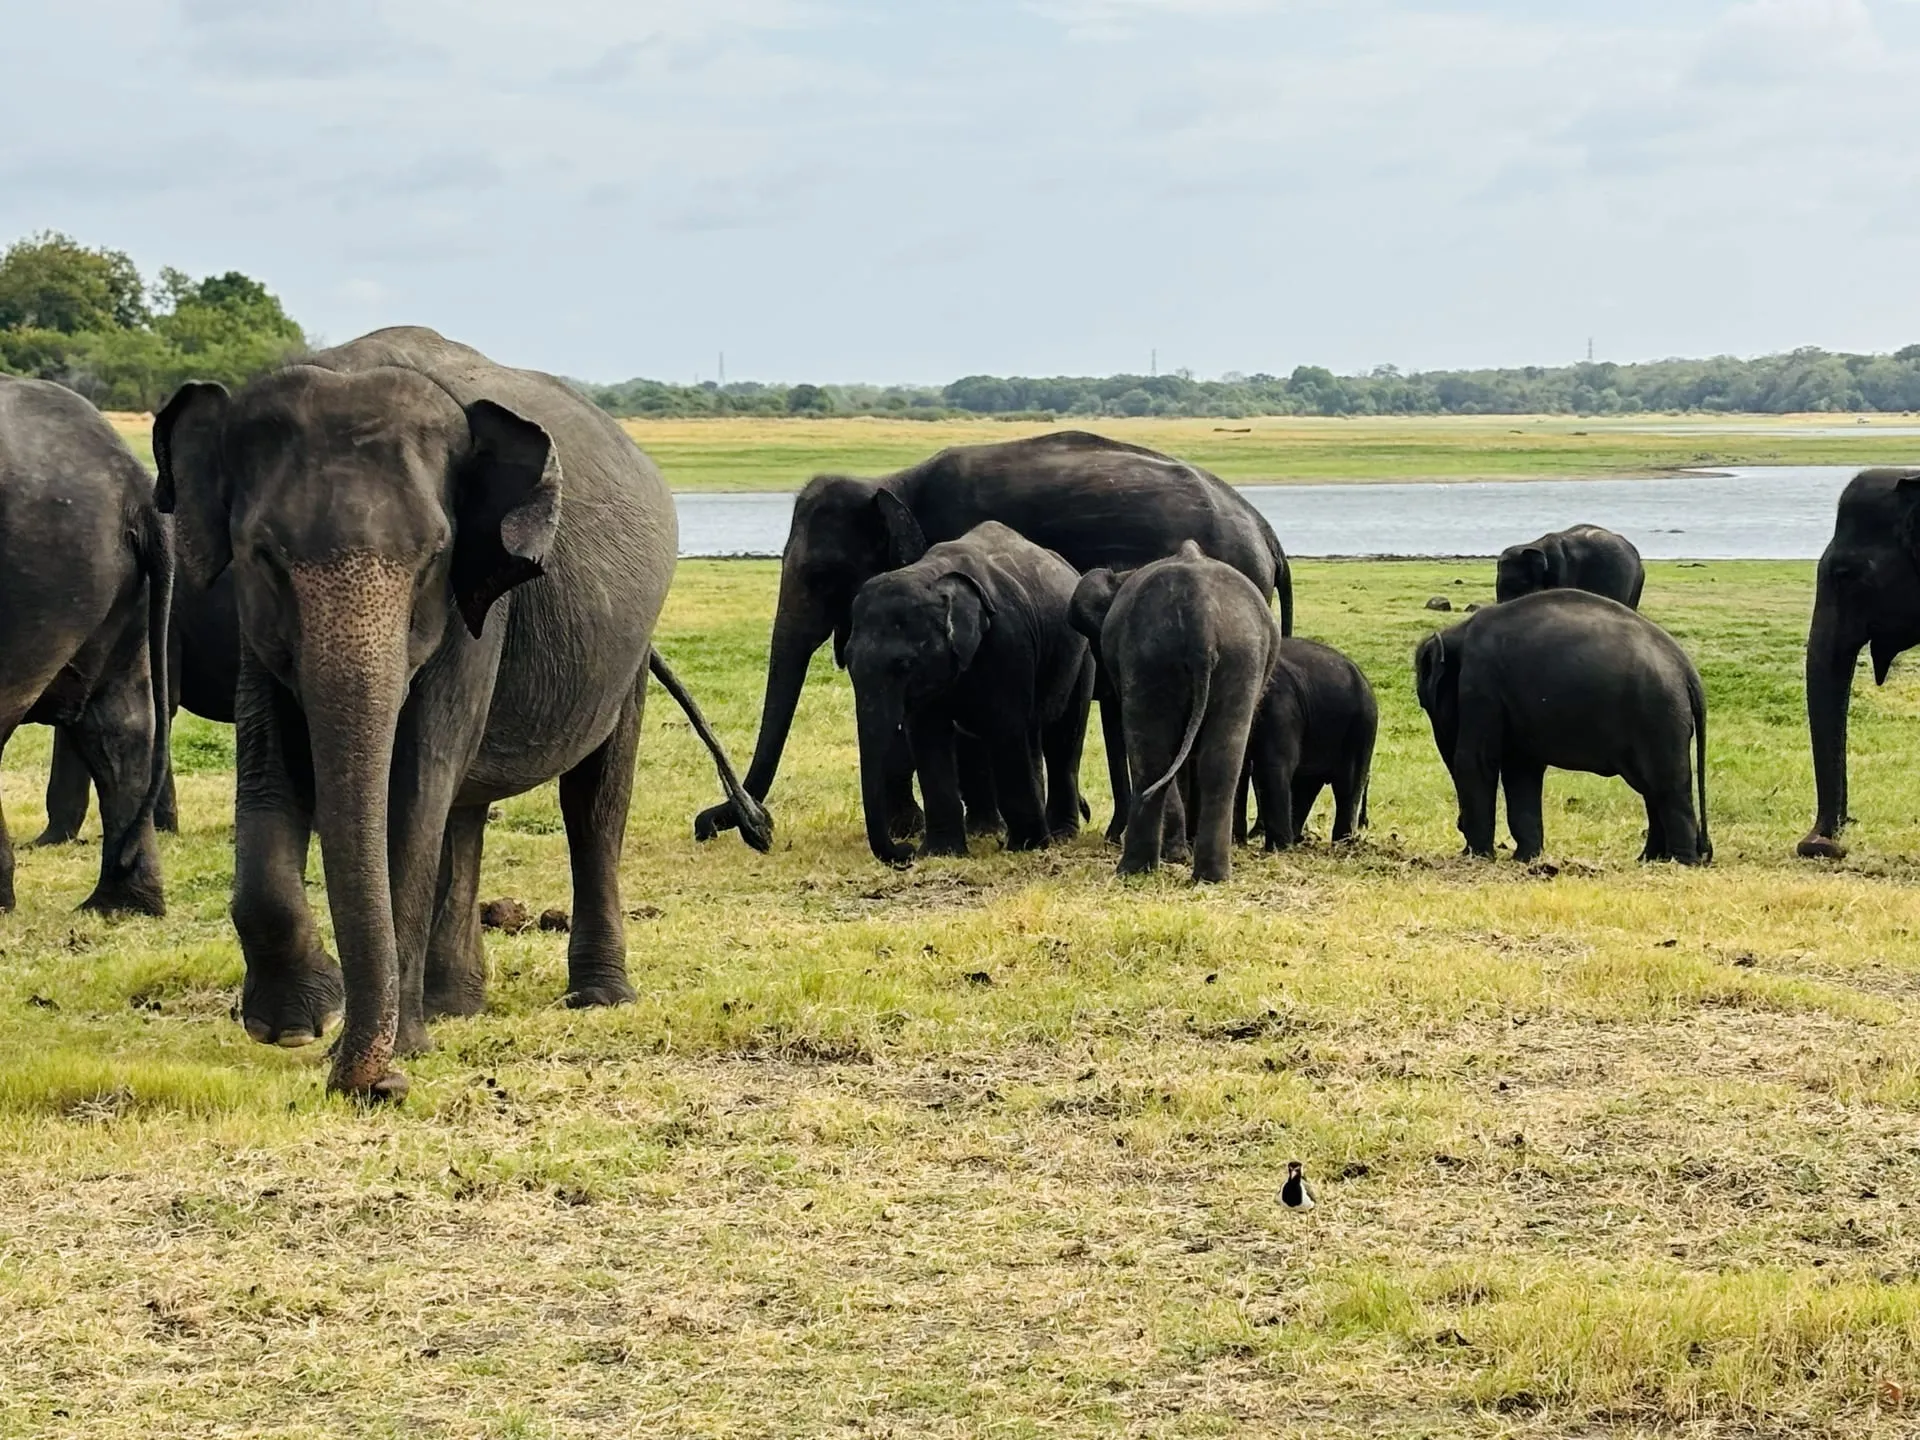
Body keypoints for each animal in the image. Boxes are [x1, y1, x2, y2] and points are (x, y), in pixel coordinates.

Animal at [154, 326, 769, 1100]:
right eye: (262, 555)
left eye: (432, 559)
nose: (379, 1085)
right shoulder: (255, 628)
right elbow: (271, 770)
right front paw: (296, 1027)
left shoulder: (480, 598)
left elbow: (416, 781)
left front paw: (390, 1046)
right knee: (466, 811)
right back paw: (455, 1006)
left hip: (626, 652)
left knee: (592, 800)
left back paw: (597, 997)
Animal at [845, 522, 1093, 865]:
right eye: (847, 661)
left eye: (904, 664)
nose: (905, 851)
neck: (931, 576)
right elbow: (928, 738)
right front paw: (941, 853)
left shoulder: (1008, 642)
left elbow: (1005, 729)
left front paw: (1025, 847)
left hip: (1082, 658)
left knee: (1063, 739)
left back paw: (1058, 835)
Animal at [1070, 542, 1280, 883]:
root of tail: (1202, 619)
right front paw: (1178, 855)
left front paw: (1175, 855)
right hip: (1239, 657)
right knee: (1219, 763)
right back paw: (1210, 877)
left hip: (1151, 659)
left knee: (1151, 758)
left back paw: (1134, 870)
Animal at [1248, 638, 1377, 849]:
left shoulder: (1279, 707)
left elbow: (1274, 763)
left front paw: (1277, 848)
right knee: (1306, 785)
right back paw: (1295, 837)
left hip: (1361, 725)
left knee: (1347, 784)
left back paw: (1342, 843)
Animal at [1415, 590, 1708, 864]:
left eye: (1425, 704)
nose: (1459, 825)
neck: (1458, 633)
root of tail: (1686, 668)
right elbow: (1522, 769)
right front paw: (1525, 859)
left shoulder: (1481, 686)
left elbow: (1475, 761)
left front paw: (1475, 857)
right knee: (1652, 789)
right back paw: (1649, 859)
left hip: (1658, 715)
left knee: (1666, 786)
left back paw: (1682, 862)